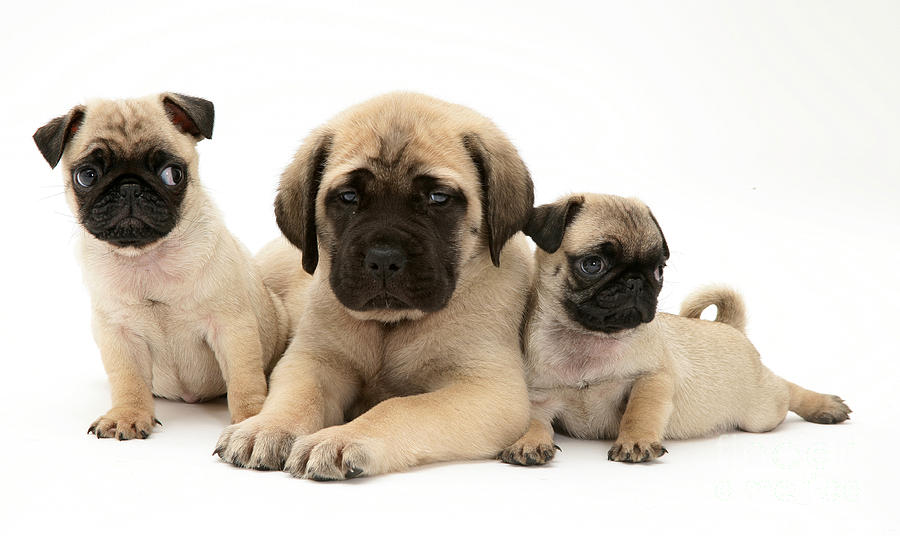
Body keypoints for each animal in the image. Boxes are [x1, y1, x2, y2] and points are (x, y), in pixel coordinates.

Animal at [33, 93, 286, 440]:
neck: (146, 258)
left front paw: (251, 418)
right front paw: (127, 415)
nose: (128, 187)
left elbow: (243, 378)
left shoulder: (231, 327)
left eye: (172, 174)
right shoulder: (118, 334)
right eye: (87, 176)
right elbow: (128, 380)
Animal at [213, 90, 536, 480]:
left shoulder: (488, 390)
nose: (383, 258)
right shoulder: (313, 361)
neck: (389, 327)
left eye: (438, 198)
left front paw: (341, 438)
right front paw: (266, 427)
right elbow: (298, 396)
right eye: (349, 197)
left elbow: (399, 408)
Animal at [500, 194, 852, 464]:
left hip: (762, 411)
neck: (588, 338)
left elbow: (640, 412)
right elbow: (531, 422)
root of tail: (728, 326)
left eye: (659, 270)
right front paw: (528, 442)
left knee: (785, 389)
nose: (635, 281)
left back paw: (824, 405)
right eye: (592, 264)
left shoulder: (652, 378)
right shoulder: (540, 398)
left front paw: (636, 441)